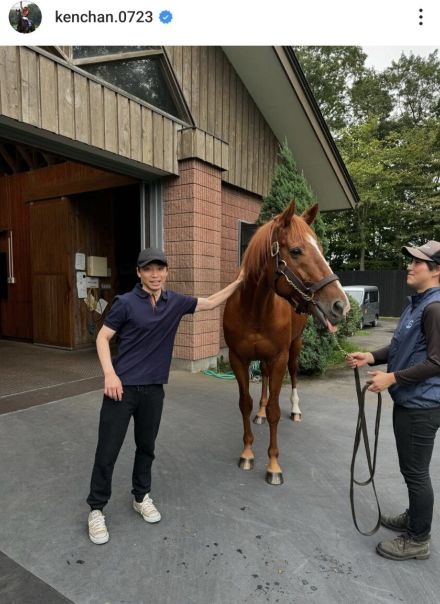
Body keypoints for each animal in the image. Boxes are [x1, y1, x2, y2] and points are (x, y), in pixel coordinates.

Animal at [225, 203, 348, 486]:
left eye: (321, 248)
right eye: (296, 250)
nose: (340, 305)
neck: (254, 308)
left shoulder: (279, 357)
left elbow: (275, 411)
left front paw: (273, 466)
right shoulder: (238, 358)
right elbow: (245, 403)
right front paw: (247, 452)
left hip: (295, 347)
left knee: (293, 375)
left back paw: (296, 410)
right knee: (265, 377)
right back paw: (259, 414)